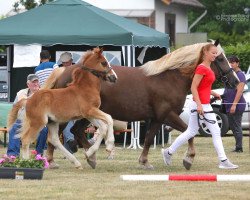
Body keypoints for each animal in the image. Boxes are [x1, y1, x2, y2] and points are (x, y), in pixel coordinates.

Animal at [44, 40, 239, 169]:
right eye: (220, 59)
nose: (235, 82)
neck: (169, 79)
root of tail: (63, 70)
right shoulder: (168, 115)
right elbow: (188, 132)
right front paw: (188, 158)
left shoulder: (157, 118)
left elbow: (148, 138)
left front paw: (144, 161)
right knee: (55, 136)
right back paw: (53, 161)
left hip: (87, 114)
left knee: (75, 131)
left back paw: (91, 157)